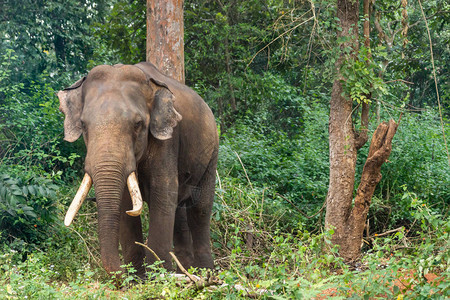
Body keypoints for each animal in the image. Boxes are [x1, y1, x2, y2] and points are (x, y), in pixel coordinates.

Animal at [57, 62, 219, 278]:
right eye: (83, 125)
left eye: (138, 124)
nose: (121, 273)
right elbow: (125, 202)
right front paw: (137, 278)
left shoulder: (167, 139)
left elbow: (163, 192)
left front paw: (158, 277)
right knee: (179, 213)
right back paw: (186, 272)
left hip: (212, 153)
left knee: (200, 210)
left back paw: (206, 272)